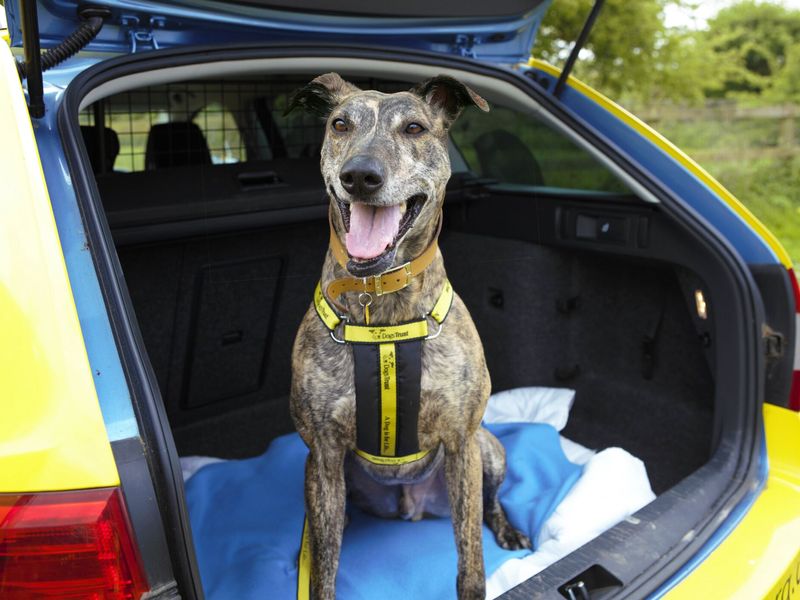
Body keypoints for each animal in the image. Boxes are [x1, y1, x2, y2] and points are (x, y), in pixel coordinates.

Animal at [290, 72, 532, 596]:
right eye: (340, 124)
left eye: (415, 128)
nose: (360, 176)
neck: (380, 297)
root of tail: (412, 504)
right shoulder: (323, 453)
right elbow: (323, 568)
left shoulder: (462, 440)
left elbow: (470, 556)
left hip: (489, 450)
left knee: (490, 504)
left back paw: (508, 529)